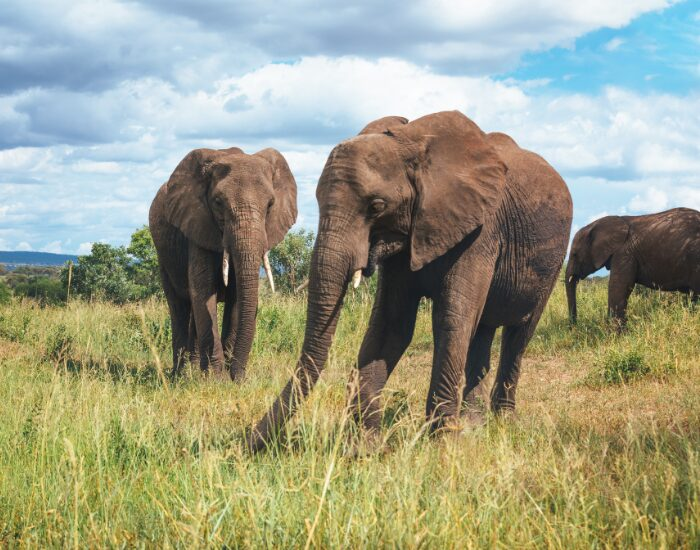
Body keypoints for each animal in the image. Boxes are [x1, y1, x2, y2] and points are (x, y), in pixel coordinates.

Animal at [149, 146, 297, 380]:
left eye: (270, 205)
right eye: (218, 203)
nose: (239, 377)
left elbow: (237, 298)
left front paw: (227, 377)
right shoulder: (196, 225)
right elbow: (203, 292)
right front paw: (216, 379)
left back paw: (193, 371)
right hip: (164, 256)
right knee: (179, 306)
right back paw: (180, 375)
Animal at [248, 110, 572, 451]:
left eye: (376, 206)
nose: (249, 442)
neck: (413, 144)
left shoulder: (482, 232)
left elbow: (451, 320)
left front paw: (440, 445)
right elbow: (391, 326)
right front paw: (365, 447)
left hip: (552, 261)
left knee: (518, 335)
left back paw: (502, 421)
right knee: (482, 331)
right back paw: (474, 426)